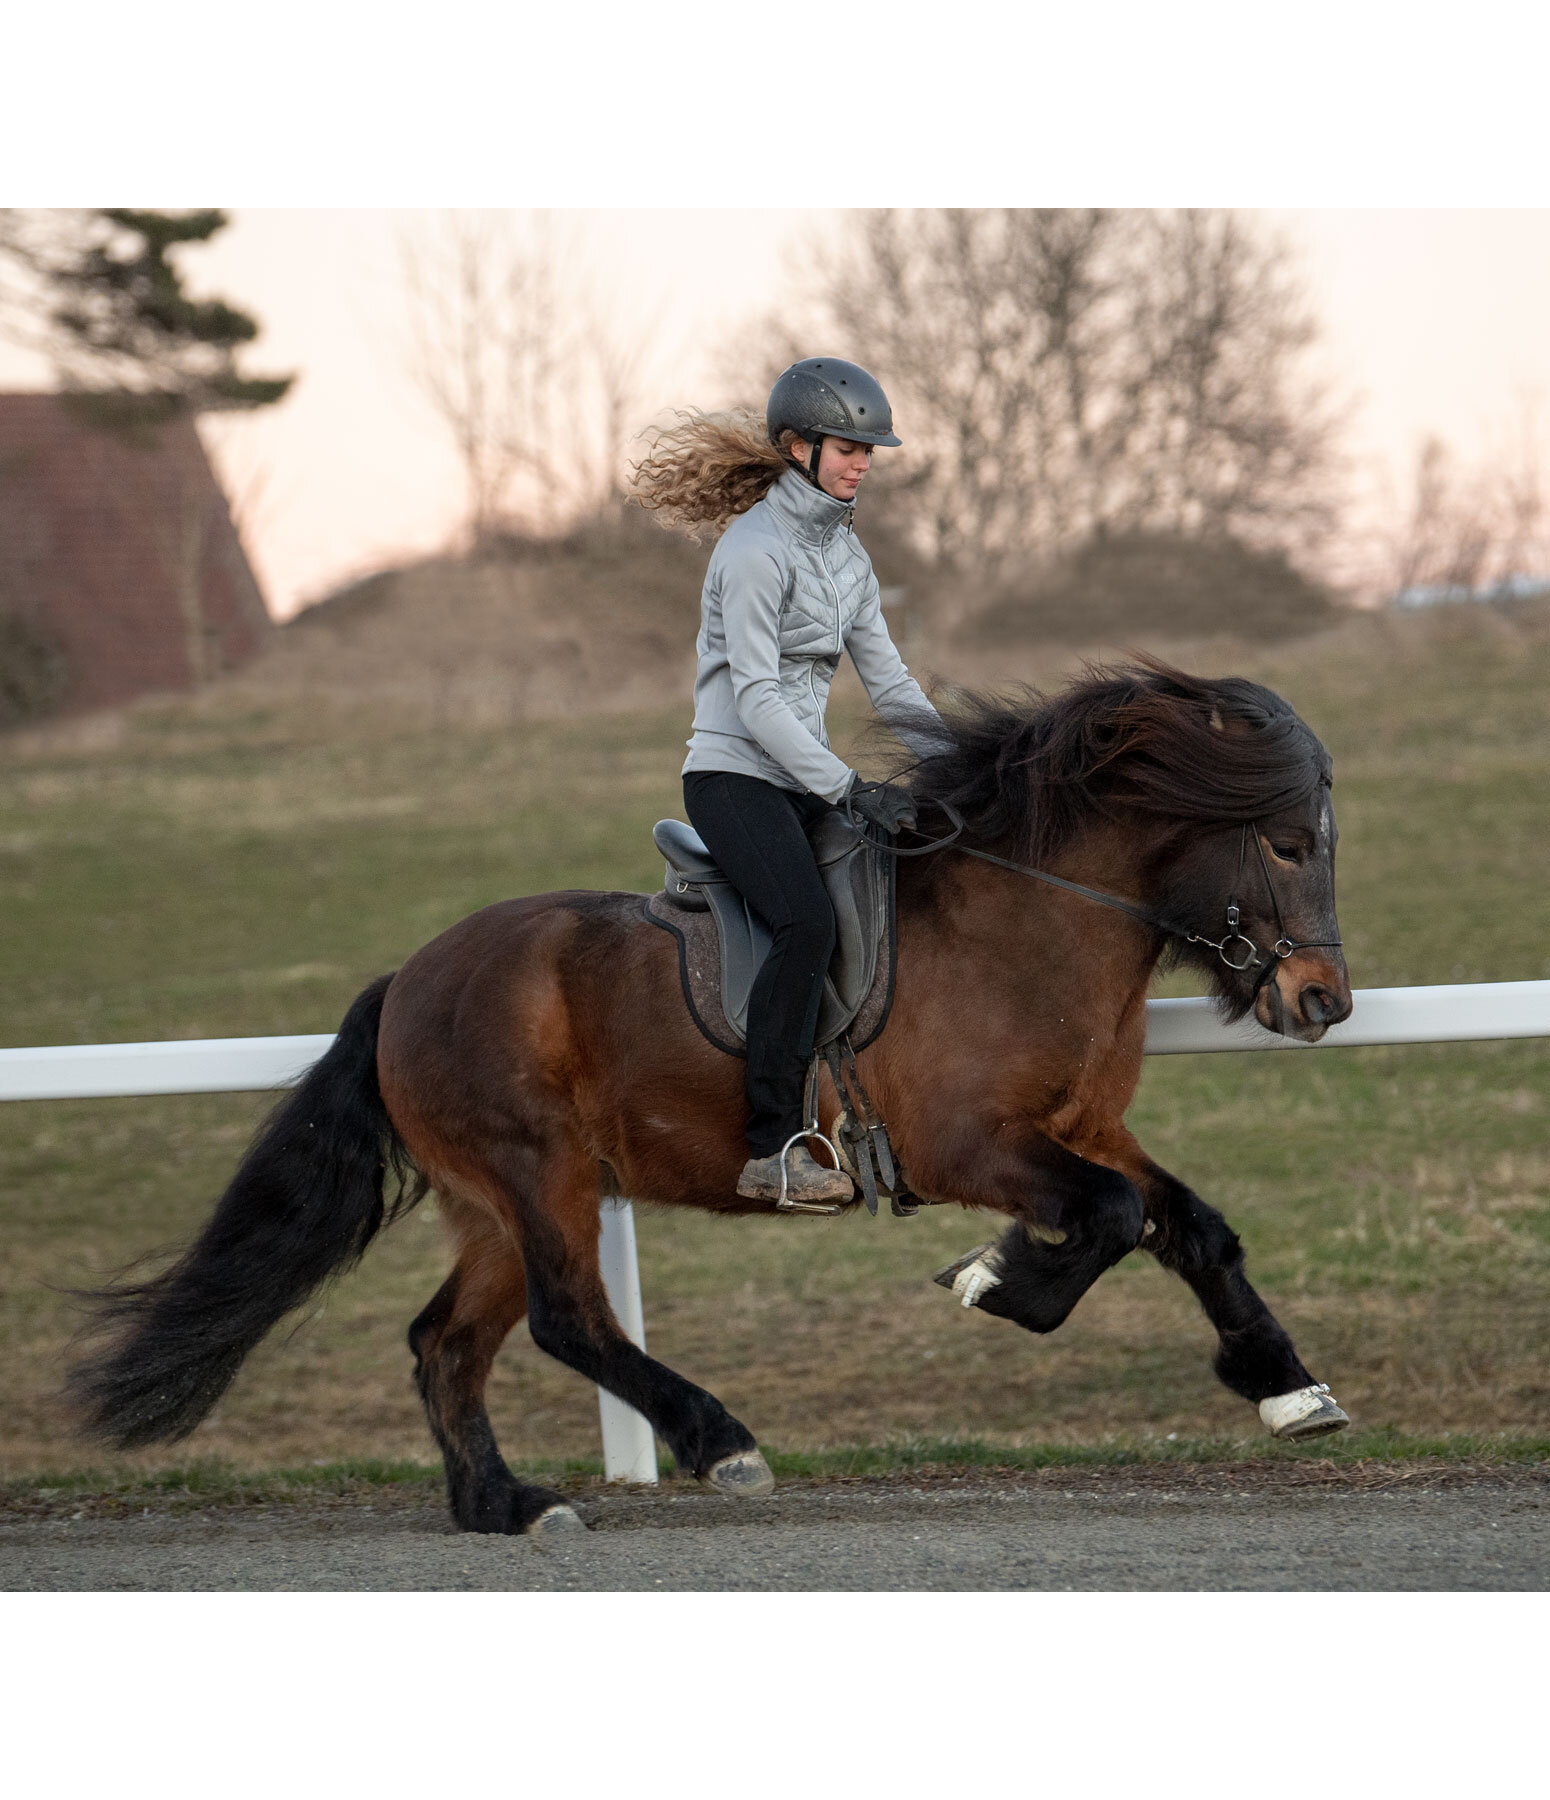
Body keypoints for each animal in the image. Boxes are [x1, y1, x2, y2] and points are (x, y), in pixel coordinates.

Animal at [69, 662, 1353, 1533]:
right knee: (566, 1319)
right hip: (538, 1175)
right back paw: (714, 1440)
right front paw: (995, 1278)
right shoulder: (968, 1143)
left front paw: (1285, 1387)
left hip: (495, 1205)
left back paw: (503, 1504)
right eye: (1287, 844)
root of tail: (405, 984)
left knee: (446, 1342)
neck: (1026, 920)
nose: (1323, 1000)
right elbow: (1109, 1220)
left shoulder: (1082, 1128)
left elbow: (1186, 1225)